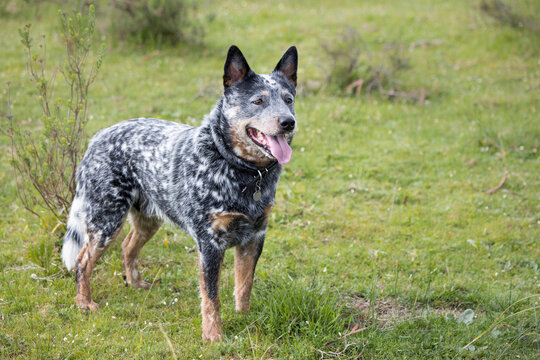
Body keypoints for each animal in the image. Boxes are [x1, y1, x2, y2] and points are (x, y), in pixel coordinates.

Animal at [62, 45, 300, 344]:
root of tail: (98, 136)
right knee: (83, 261)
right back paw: (84, 303)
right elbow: (211, 297)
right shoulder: (209, 243)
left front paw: (244, 318)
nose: (288, 122)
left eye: (288, 99)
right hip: (106, 220)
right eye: (258, 101)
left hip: (149, 218)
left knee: (128, 247)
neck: (241, 171)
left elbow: (244, 286)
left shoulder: (255, 236)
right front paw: (213, 336)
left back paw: (136, 284)